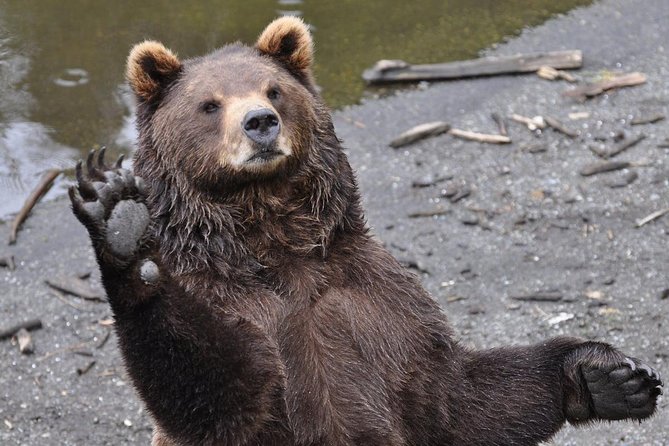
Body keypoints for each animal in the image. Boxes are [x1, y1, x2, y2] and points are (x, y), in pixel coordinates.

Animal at [70, 16, 660, 446]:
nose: (259, 122)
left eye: (274, 90)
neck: (277, 247)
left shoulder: (377, 309)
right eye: (209, 104)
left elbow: (458, 400)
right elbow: (219, 389)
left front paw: (608, 376)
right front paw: (123, 226)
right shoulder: (233, 306)